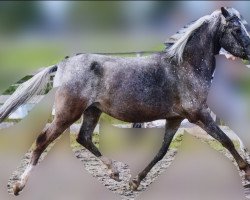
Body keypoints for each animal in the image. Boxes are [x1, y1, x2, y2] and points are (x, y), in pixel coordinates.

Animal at [0, 7, 250, 195]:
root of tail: (62, 64)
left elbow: (161, 152)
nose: (249, 53)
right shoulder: (199, 114)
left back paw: (114, 172)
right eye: (237, 29)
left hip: (92, 111)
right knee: (42, 141)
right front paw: (246, 170)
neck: (184, 66)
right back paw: (18, 186)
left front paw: (135, 181)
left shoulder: (175, 119)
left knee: (84, 138)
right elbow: (225, 140)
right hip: (66, 114)